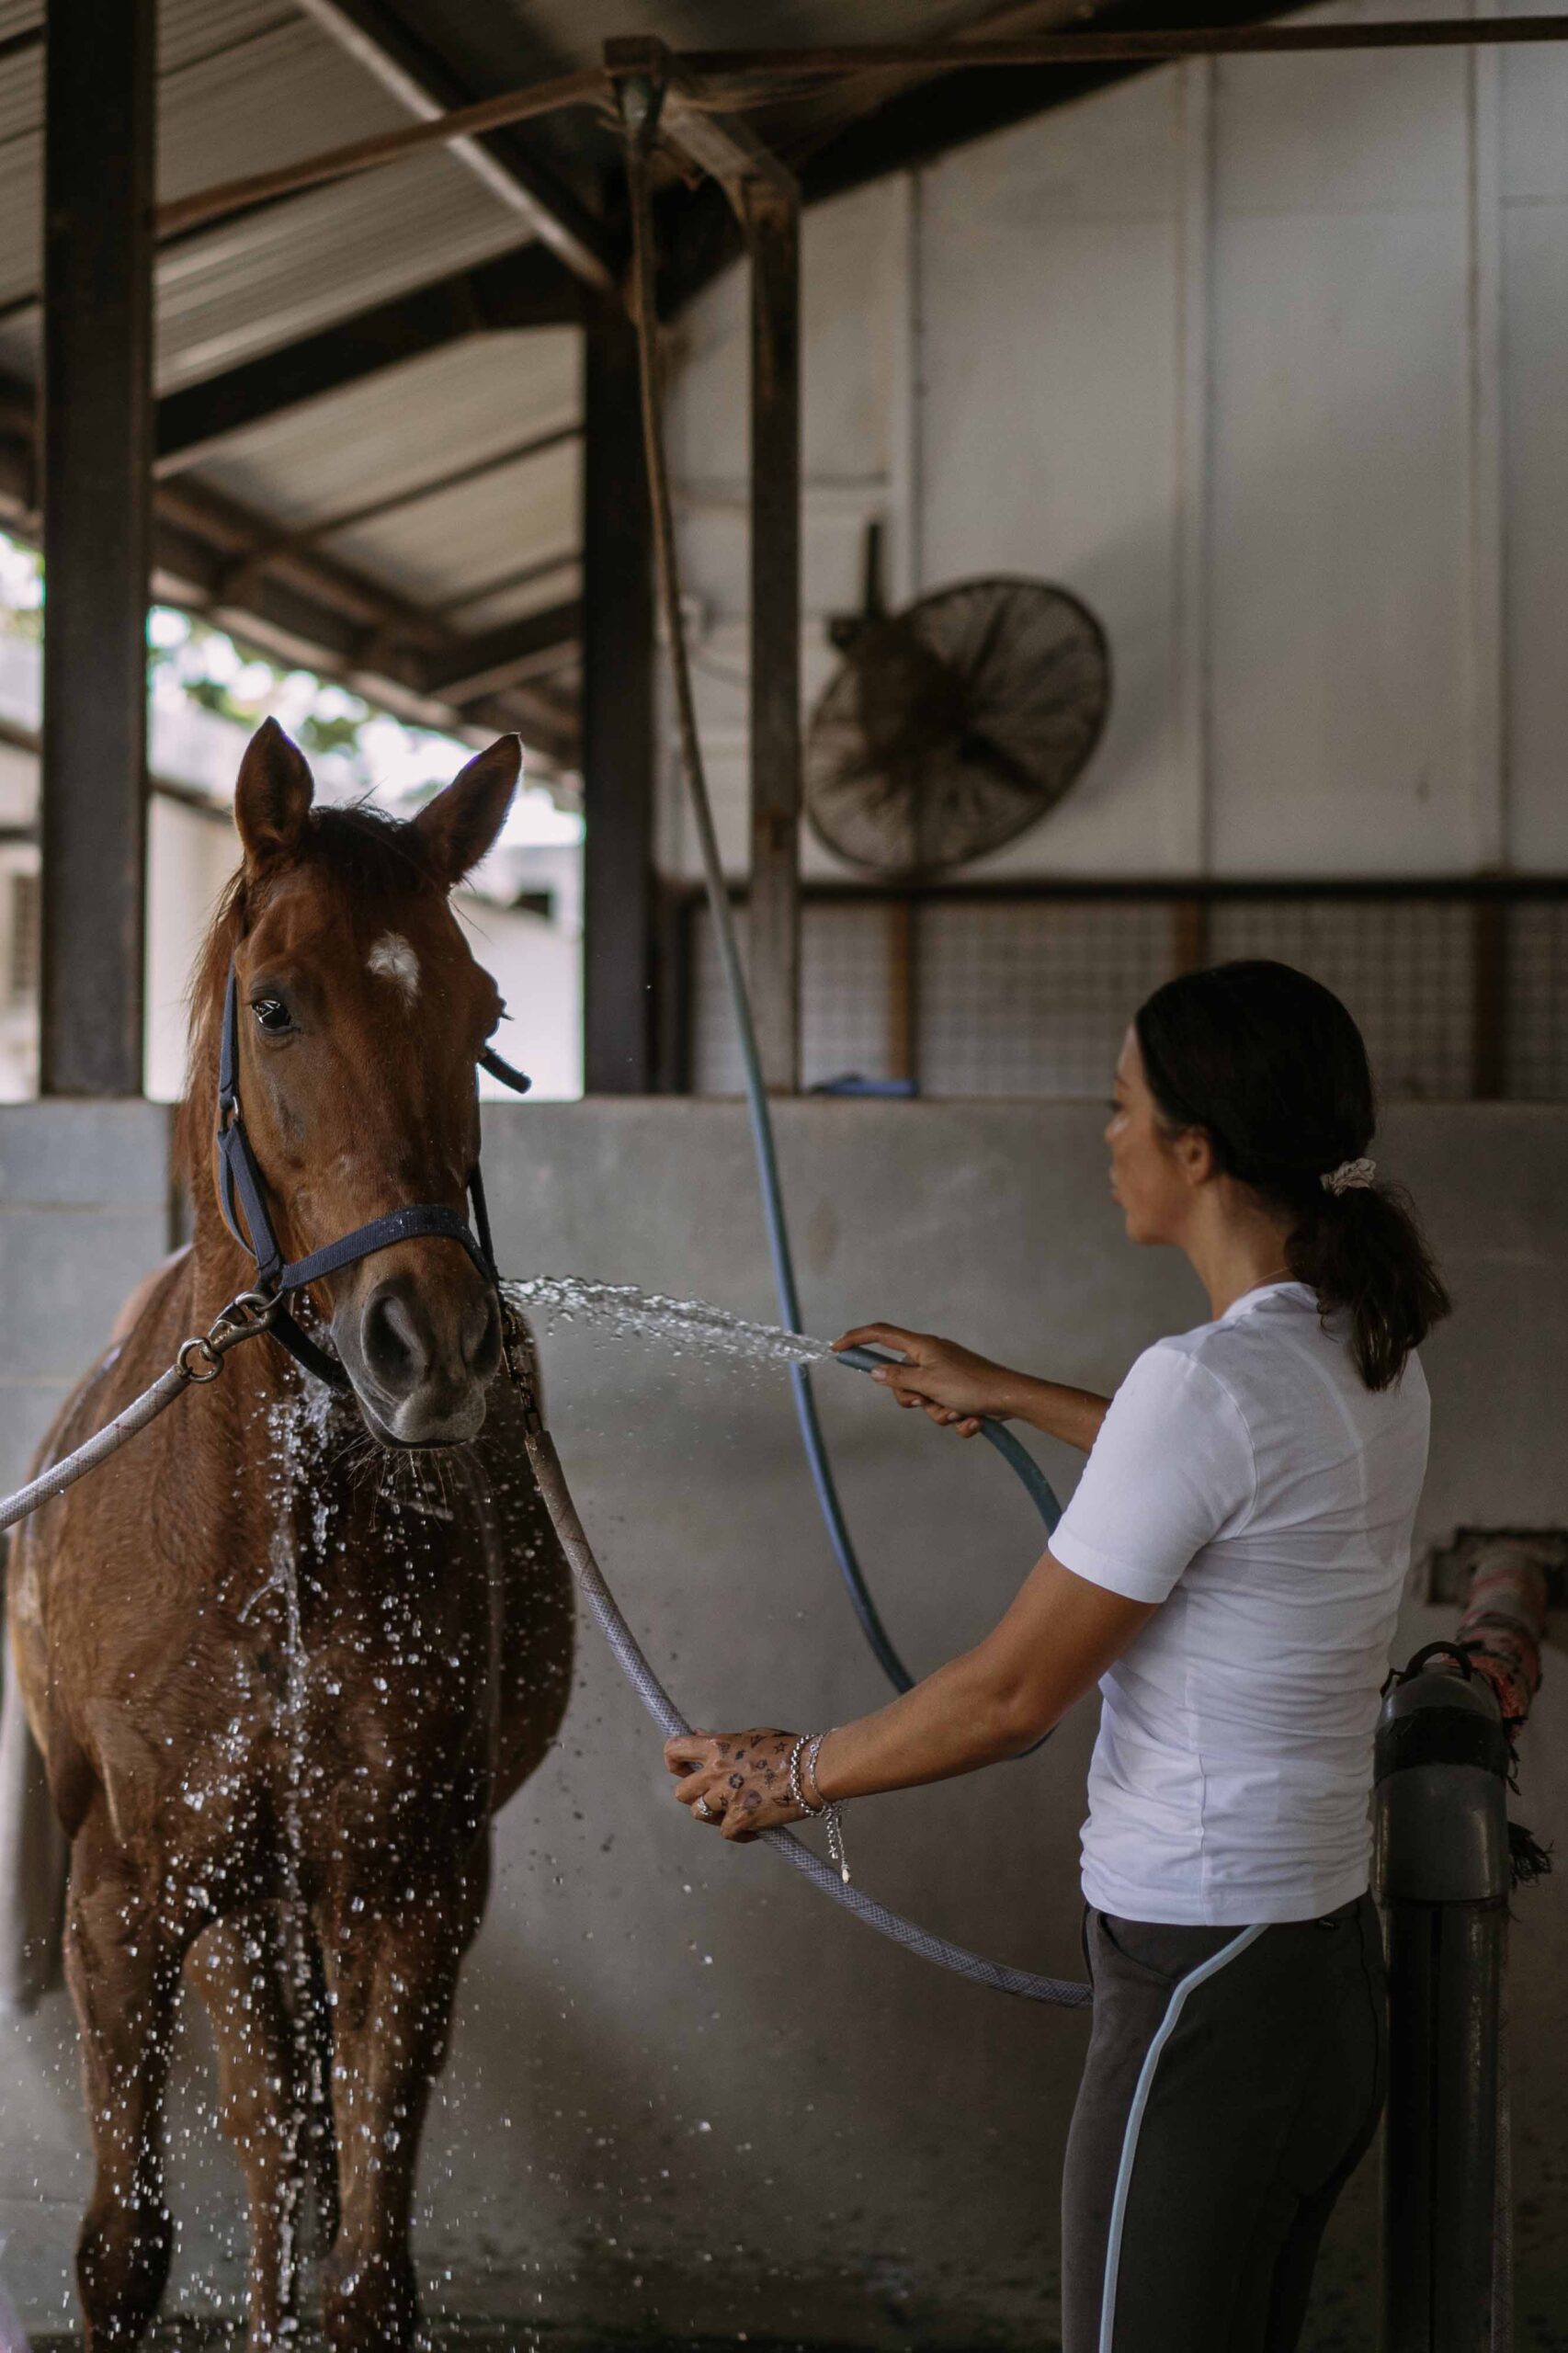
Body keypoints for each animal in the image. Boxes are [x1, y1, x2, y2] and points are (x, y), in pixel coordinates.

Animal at [4, 715, 574, 2353]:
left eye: (483, 1011)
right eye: (275, 1006)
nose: (430, 1348)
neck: (262, 1544)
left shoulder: (411, 1890)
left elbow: (364, 2267)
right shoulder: (129, 1902)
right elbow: (126, 2248)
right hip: (233, 1904)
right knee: (268, 2139)